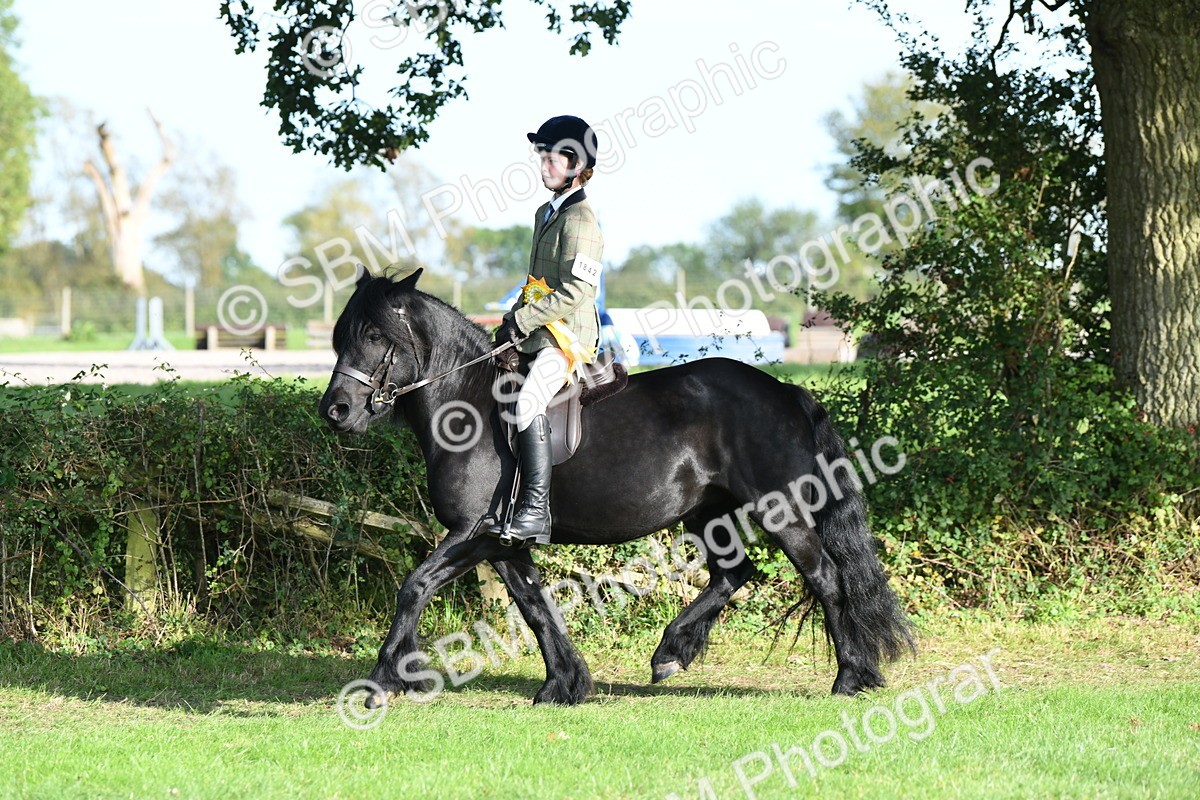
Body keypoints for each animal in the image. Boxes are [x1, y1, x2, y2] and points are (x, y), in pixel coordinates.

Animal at [318, 268, 913, 706]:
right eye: (340, 336)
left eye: (375, 336)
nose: (335, 412)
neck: (469, 405)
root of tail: (787, 391)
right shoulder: (500, 541)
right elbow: (535, 606)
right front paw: (564, 684)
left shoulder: (472, 532)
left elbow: (414, 586)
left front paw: (385, 681)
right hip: (708, 512)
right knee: (734, 573)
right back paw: (672, 652)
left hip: (779, 509)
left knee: (826, 578)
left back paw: (850, 678)